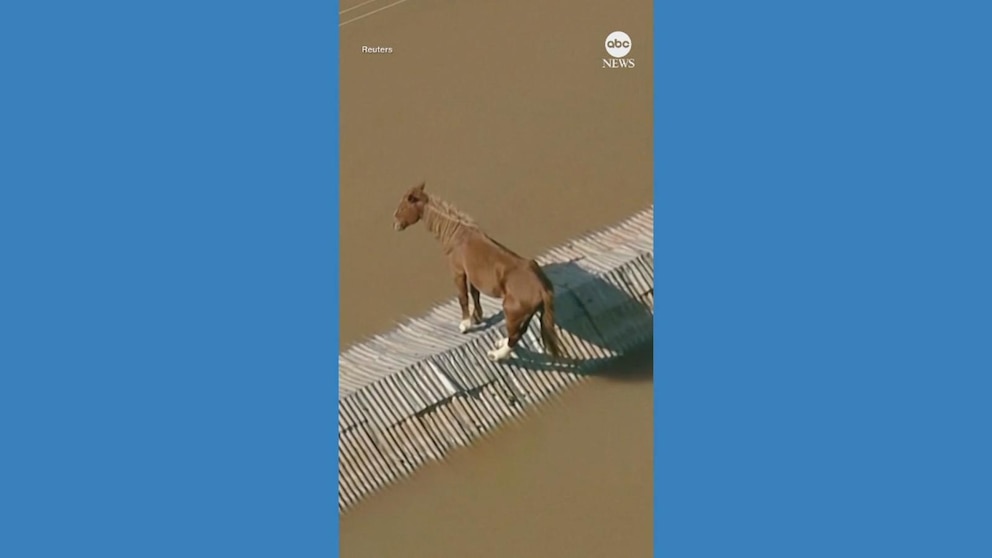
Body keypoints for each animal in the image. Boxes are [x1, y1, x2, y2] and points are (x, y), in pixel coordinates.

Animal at [392, 180, 560, 364]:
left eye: (403, 206)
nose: (395, 225)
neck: (457, 235)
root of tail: (543, 288)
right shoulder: (472, 275)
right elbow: (475, 294)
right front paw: (477, 317)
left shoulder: (458, 272)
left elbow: (463, 297)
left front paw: (465, 324)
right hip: (527, 314)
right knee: (520, 332)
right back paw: (500, 343)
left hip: (512, 312)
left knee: (515, 336)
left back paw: (496, 355)